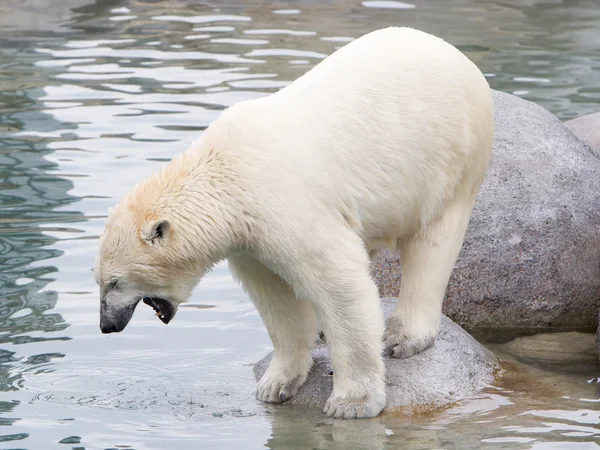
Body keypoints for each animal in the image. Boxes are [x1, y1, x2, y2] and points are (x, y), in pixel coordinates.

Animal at [96, 26, 494, 420]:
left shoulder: (286, 205)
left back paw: (402, 336)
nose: (106, 325)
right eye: (99, 281)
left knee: (432, 244)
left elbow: (339, 284)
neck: (226, 176)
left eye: (115, 282)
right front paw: (276, 384)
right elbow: (276, 297)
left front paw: (352, 403)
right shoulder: (250, 239)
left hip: (448, 160)